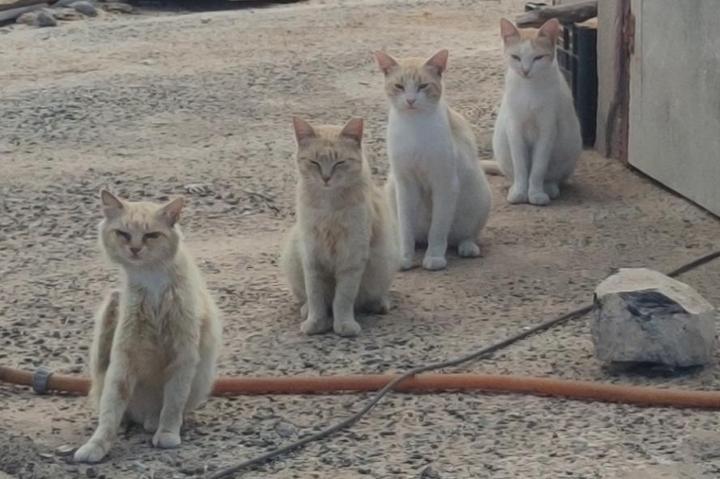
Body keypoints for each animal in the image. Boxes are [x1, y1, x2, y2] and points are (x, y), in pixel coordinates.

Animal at [74, 190, 222, 463]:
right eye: (123, 233)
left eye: (151, 235)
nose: (134, 248)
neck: (152, 280)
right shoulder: (123, 359)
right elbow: (110, 411)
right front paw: (96, 445)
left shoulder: (183, 356)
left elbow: (173, 402)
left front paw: (167, 433)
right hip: (111, 311)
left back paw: (155, 423)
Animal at [281, 117, 399, 337]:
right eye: (314, 163)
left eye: (339, 163)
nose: (326, 178)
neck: (329, 205)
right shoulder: (312, 256)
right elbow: (316, 295)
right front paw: (315, 323)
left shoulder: (351, 258)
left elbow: (343, 298)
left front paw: (343, 325)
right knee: (307, 298)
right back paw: (306, 310)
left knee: (368, 297)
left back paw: (378, 304)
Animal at [374, 49, 492, 271]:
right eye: (399, 86)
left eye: (423, 86)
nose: (410, 100)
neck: (414, 125)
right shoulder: (405, 184)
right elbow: (406, 229)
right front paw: (405, 258)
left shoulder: (444, 184)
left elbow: (437, 229)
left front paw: (435, 258)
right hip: (391, 189)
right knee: (416, 236)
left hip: (479, 195)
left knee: (464, 236)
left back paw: (467, 247)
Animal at [490, 18, 582, 206]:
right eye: (516, 57)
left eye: (538, 58)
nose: (525, 71)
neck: (529, 88)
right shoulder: (514, 128)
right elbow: (521, 166)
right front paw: (520, 192)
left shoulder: (547, 129)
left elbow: (538, 168)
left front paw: (535, 193)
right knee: (513, 173)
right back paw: (514, 186)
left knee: (554, 178)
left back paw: (549, 188)